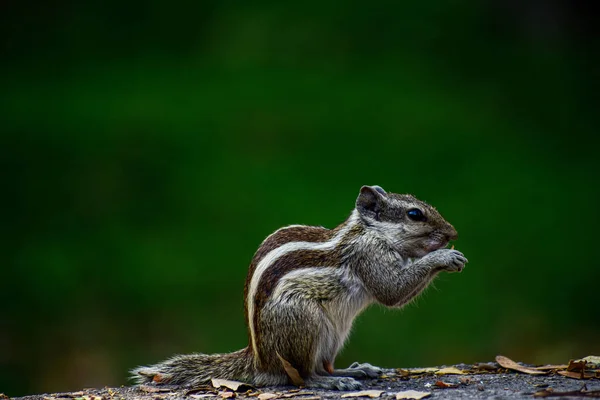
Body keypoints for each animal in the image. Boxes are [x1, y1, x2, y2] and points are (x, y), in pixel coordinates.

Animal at [132, 185, 468, 390]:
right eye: (415, 214)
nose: (453, 233)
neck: (367, 232)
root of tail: (259, 359)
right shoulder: (368, 255)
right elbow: (392, 291)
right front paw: (445, 256)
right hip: (304, 322)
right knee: (304, 375)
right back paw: (331, 382)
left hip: (334, 334)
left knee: (324, 366)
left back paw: (354, 370)